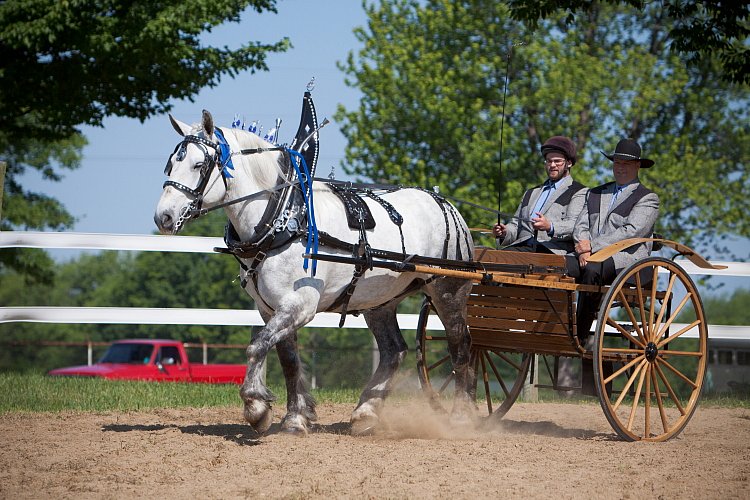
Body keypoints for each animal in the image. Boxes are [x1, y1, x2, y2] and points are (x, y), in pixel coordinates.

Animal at [154, 109, 476, 434]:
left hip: (447, 291)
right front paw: (295, 418)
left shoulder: (300, 304)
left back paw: (462, 416)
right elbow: (288, 360)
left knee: (460, 345)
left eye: (199, 165)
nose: (163, 217)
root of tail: (446, 204)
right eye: (170, 163)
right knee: (393, 350)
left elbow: (257, 346)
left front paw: (256, 407)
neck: (284, 219)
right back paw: (365, 412)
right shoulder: (270, 308)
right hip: (379, 301)